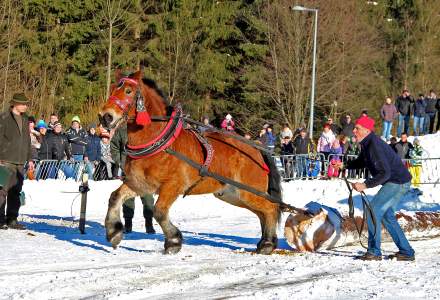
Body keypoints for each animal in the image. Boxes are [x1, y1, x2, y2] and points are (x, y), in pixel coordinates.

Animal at [99, 71, 284, 255]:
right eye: (113, 89)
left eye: (128, 91)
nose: (105, 117)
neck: (160, 142)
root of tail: (257, 149)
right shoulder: (140, 185)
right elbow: (115, 197)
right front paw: (113, 232)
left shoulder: (172, 186)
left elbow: (159, 211)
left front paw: (173, 241)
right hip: (233, 194)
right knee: (262, 213)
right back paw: (264, 242)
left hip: (249, 193)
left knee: (270, 208)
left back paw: (267, 244)